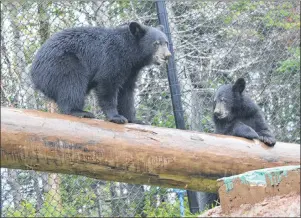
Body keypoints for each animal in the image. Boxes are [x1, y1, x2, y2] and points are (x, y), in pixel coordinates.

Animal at [31, 22, 171, 124]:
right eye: (156, 43)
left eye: (166, 42)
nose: (167, 56)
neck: (131, 53)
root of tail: (33, 73)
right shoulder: (113, 58)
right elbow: (107, 84)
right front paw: (116, 117)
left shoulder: (131, 71)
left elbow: (126, 92)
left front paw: (135, 119)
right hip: (62, 63)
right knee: (72, 83)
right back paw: (80, 112)